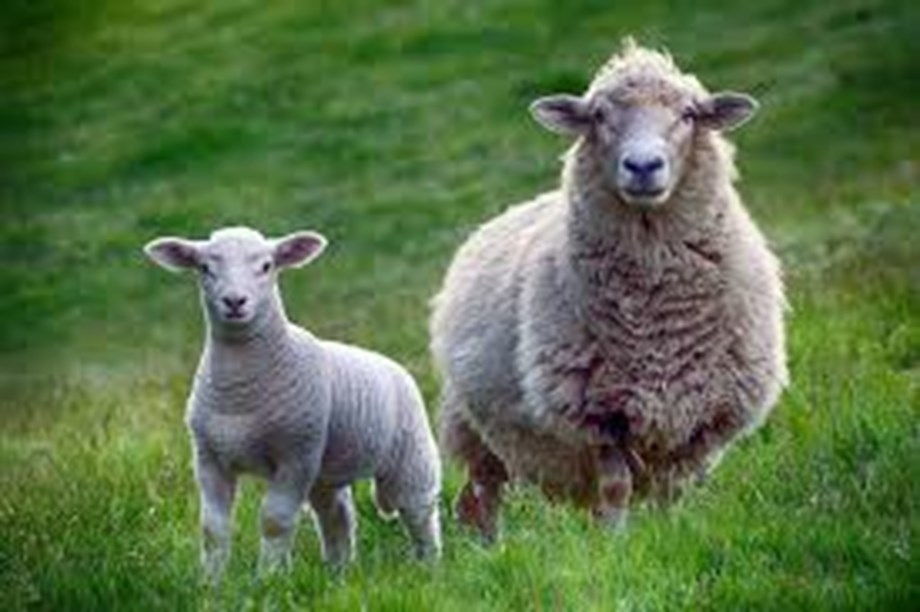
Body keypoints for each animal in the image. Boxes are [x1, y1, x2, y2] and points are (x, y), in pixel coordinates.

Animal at [144, 226, 441, 580]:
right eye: (204, 268)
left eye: (267, 266)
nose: (234, 301)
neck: (240, 393)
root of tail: (394, 366)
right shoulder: (209, 458)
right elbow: (212, 527)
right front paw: (210, 582)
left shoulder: (296, 454)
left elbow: (275, 520)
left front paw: (267, 579)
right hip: (326, 471)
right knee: (337, 516)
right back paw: (338, 573)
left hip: (410, 453)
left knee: (418, 509)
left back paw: (429, 567)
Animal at [430, 39, 787, 539]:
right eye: (599, 116)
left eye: (689, 114)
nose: (643, 165)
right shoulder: (596, 414)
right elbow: (616, 487)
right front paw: (616, 543)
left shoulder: (703, 415)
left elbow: (672, 490)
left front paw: (669, 535)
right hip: (473, 426)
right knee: (483, 494)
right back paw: (490, 546)